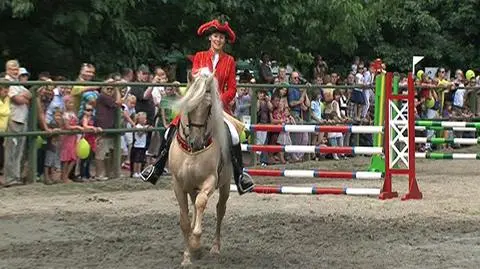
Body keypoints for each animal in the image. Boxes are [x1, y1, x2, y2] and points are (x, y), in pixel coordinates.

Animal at [169, 72, 232, 264]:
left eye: (209, 107)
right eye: (189, 105)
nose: (196, 142)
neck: (192, 152)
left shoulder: (210, 180)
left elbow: (202, 203)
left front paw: (196, 243)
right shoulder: (178, 185)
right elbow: (184, 220)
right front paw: (187, 256)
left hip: (225, 185)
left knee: (219, 209)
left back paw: (215, 248)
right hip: (191, 187)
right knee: (195, 208)